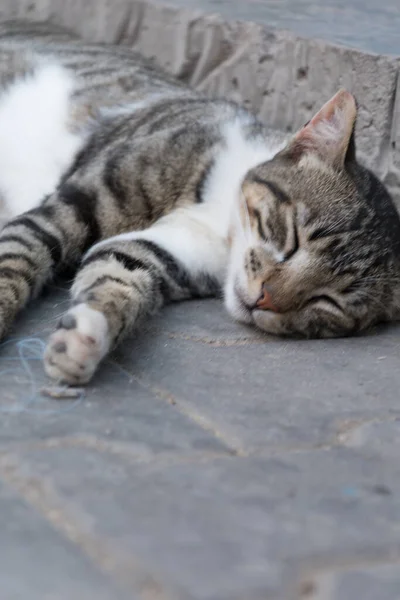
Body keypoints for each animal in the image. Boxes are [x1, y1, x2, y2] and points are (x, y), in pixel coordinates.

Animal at [0, 19, 400, 384]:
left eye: (328, 300)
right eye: (293, 238)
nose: (265, 300)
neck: (222, 220)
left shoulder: (162, 252)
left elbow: (118, 276)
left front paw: (83, 340)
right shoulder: (78, 204)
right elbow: (20, 251)